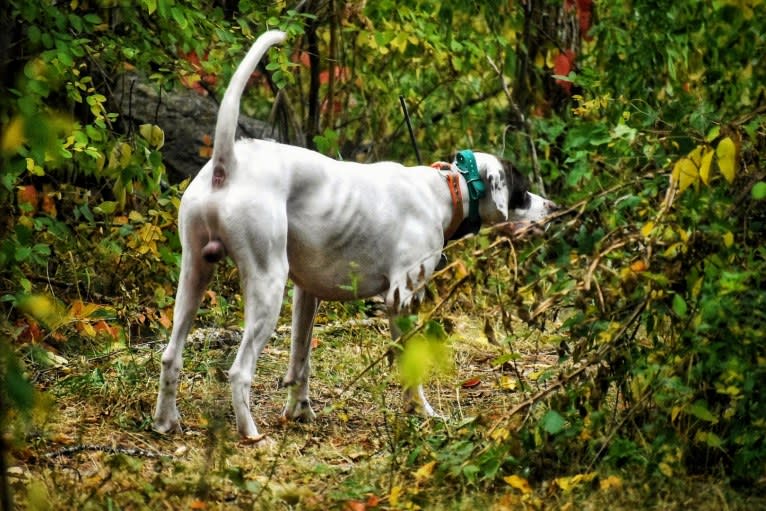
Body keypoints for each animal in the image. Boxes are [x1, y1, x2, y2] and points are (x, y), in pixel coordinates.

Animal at [154, 30, 560, 442]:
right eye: (521, 192)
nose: (553, 207)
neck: (446, 190)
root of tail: (227, 165)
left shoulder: (306, 295)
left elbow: (300, 363)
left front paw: (299, 412)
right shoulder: (401, 299)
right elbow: (410, 370)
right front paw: (422, 413)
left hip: (194, 276)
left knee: (171, 356)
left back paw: (166, 422)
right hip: (267, 285)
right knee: (240, 371)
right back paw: (251, 434)